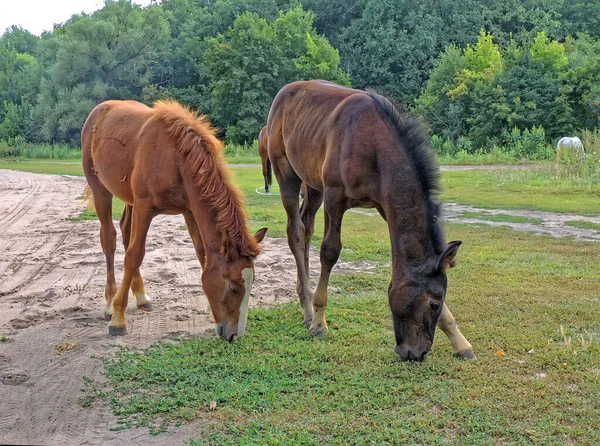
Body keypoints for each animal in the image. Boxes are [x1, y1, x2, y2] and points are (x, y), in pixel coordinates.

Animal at [81, 100, 268, 338]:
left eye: (253, 283)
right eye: (233, 287)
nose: (234, 335)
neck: (176, 159)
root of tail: (99, 110)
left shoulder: (189, 211)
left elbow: (201, 254)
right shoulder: (144, 207)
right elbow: (134, 255)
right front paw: (118, 319)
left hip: (129, 199)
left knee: (124, 231)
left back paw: (141, 297)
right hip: (101, 190)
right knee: (109, 239)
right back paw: (109, 303)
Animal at [268, 81, 474, 362]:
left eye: (440, 302)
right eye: (433, 303)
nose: (417, 353)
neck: (374, 146)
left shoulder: (385, 207)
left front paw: (460, 342)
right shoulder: (335, 199)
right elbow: (330, 252)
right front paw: (320, 322)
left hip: (312, 184)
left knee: (306, 225)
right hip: (287, 175)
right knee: (295, 232)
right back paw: (308, 309)